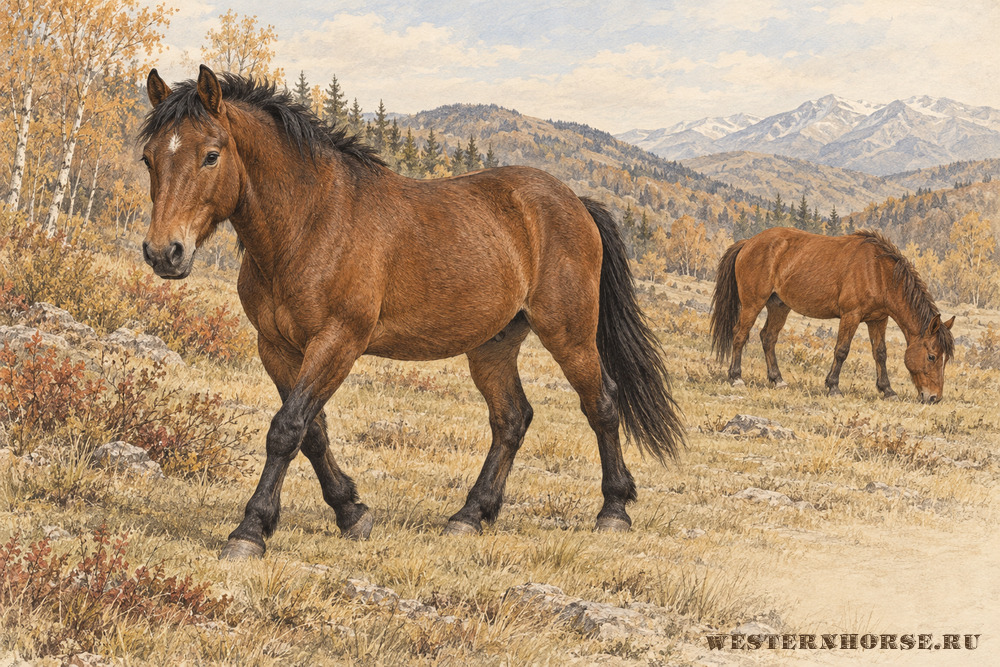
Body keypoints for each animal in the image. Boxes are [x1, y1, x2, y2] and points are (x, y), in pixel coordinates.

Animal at [138, 65, 684, 560]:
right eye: (148, 158)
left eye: (211, 155)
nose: (165, 252)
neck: (311, 222)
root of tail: (574, 202)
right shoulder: (275, 347)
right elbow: (312, 432)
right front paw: (351, 512)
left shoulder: (338, 341)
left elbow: (286, 429)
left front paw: (251, 530)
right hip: (493, 345)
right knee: (511, 418)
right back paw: (471, 515)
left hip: (568, 333)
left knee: (602, 403)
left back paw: (613, 510)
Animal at [710, 227, 954, 403]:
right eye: (932, 356)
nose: (934, 398)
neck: (879, 272)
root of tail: (748, 242)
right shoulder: (851, 316)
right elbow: (842, 350)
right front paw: (833, 386)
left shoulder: (878, 320)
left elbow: (880, 353)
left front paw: (887, 390)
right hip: (752, 303)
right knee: (740, 335)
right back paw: (736, 378)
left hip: (779, 306)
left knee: (768, 337)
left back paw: (777, 379)